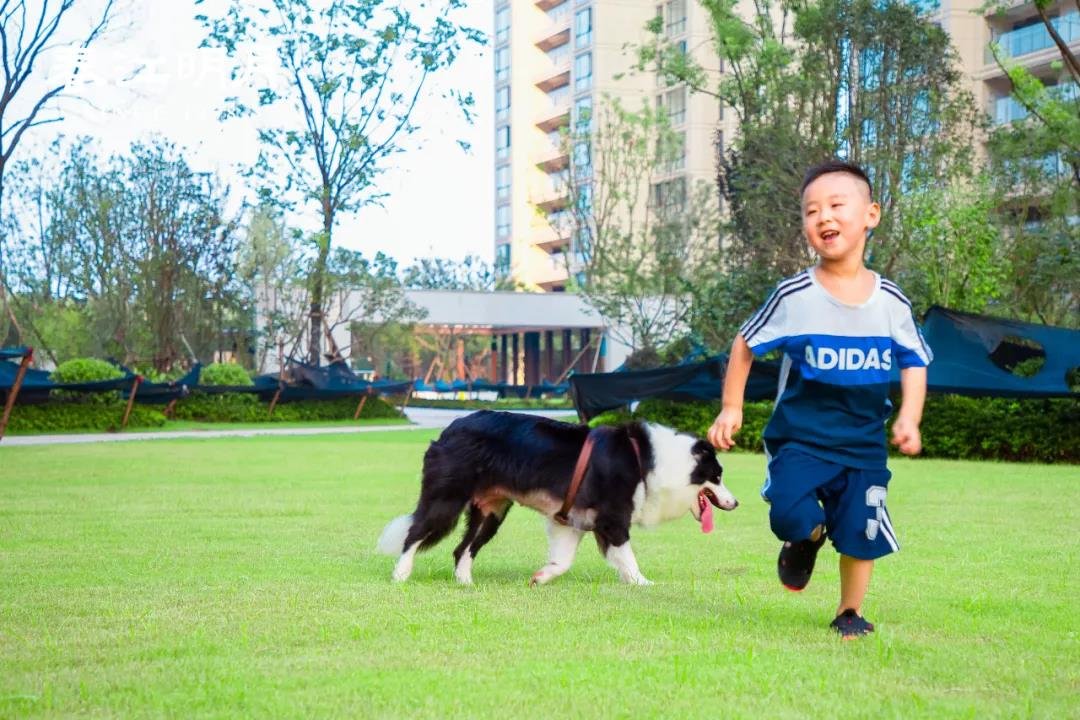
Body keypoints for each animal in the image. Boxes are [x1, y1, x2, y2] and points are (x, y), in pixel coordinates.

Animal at [375, 410, 738, 587]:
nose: (736, 504)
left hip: (491, 511)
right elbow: (627, 555)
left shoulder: (572, 518)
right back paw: (401, 574)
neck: (650, 460)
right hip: (447, 498)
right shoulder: (612, 517)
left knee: (462, 548)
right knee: (415, 532)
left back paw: (465, 583)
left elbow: (564, 560)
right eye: (718, 476)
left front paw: (542, 577)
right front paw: (641, 582)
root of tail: (449, 429)